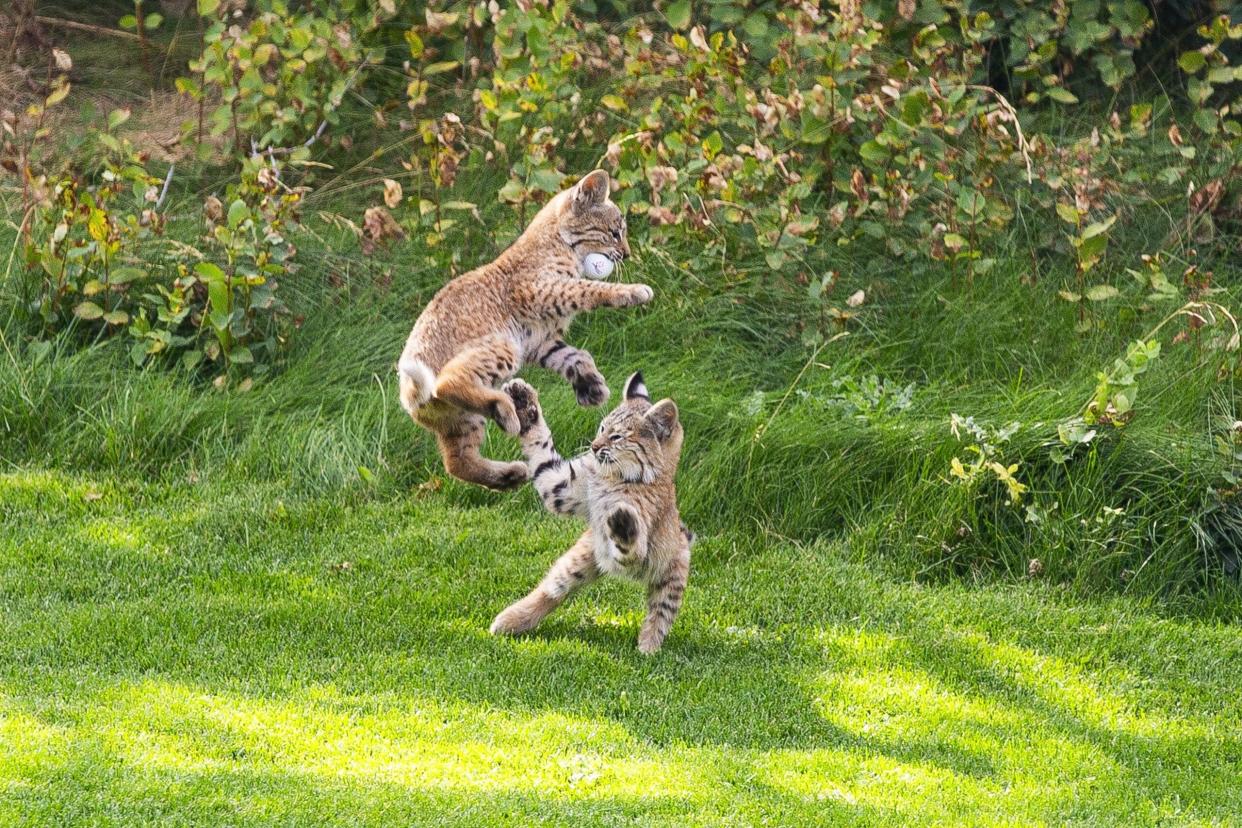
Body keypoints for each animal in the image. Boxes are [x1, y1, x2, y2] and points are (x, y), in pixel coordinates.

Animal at [399, 171, 655, 489]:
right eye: (615, 233)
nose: (627, 254)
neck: (558, 240)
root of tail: (408, 392)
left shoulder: (539, 340)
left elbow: (575, 356)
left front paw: (591, 386)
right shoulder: (540, 290)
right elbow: (589, 288)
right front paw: (632, 292)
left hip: (461, 419)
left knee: (456, 461)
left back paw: (510, 474)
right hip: (503, 346)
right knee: (447, 381)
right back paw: (506, 413)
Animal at [491, 374, 690, 655]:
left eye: (616, 437)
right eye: (601, 428)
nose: (594, 448)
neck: (615, 476)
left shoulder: (640, 548)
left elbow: (630, 542)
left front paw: (621, 519)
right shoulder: (563, 487)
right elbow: (542, 454)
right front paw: (522, 402)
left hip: (672, 572)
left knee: (660, 613)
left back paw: (648, 646)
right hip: (580, 558)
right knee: (553, 590)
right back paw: (511, 620)